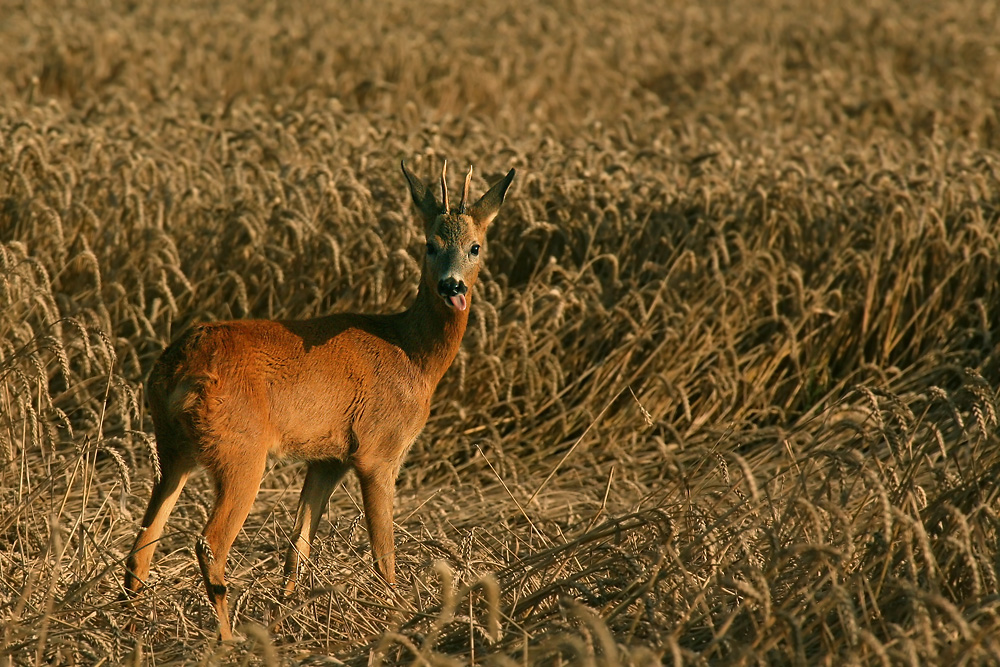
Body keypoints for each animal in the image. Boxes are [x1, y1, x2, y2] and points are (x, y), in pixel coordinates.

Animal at [123, 159, 516, 640]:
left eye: (475, 247)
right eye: (429, 244)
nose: (452, 286)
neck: (412, 354)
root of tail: (178, 371)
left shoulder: (328, 458)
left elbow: (298, 546)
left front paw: (286, 615)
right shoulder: (378, 451)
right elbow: (383, 553)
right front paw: (397, 617)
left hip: (173, 450)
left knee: (141, 547)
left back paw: (130, 628)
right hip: (241, 451)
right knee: (209, 544)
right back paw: (227, 640)